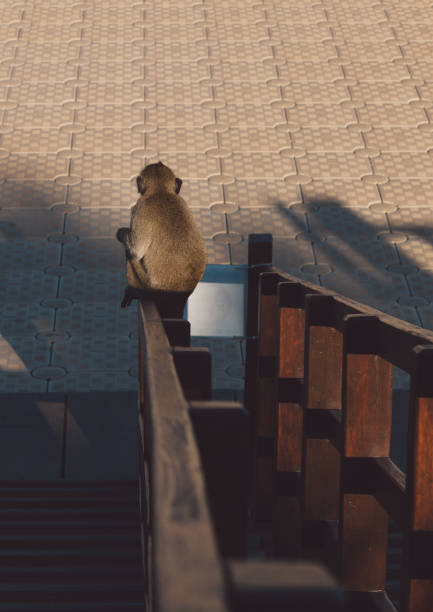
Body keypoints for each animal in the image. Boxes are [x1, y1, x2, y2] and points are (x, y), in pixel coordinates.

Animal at [115, 161, 207, 316]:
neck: (160, 191)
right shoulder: (182, 201)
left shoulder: (141, 206)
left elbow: (136, 250)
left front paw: (121, 232)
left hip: (147, 286)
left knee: (130, 255)